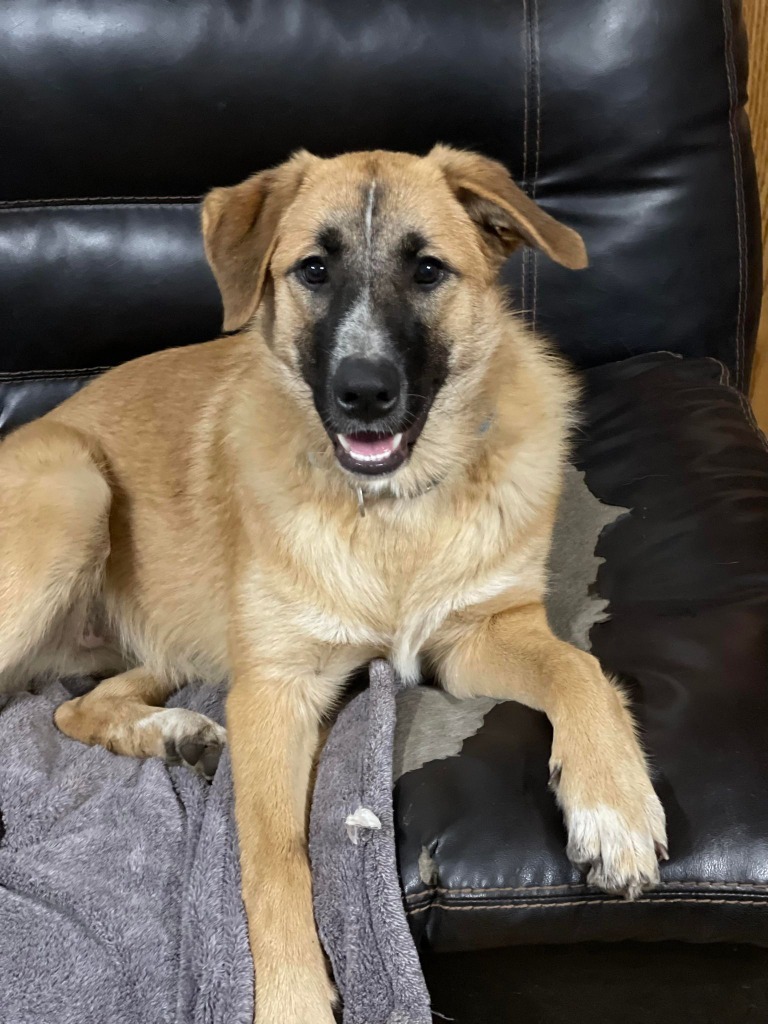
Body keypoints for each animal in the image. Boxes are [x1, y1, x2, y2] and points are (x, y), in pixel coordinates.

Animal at [0, 146, 667, 1024]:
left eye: (428, 270)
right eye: (312, 270)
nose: (364, 393)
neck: (387, 514)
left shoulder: (476, 634)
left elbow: (580, 668)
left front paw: (614, 806)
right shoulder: (274, 690)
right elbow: (273, 857)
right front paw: (292, 1000)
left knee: (78, 704)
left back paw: (174, 734)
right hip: (73, 489)